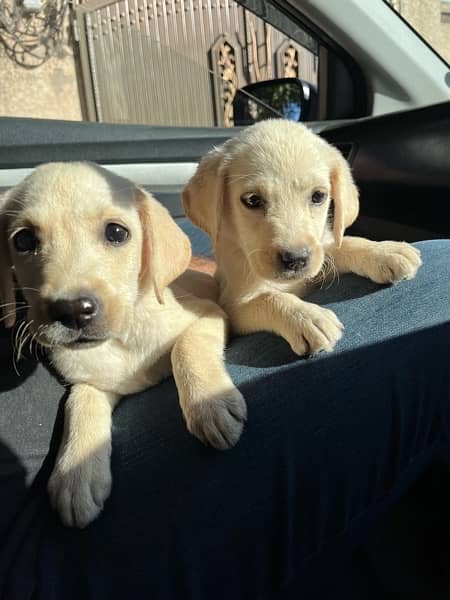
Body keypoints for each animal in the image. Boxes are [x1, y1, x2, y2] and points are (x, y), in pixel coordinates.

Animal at [0, 162, 246, 528]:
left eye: (117, 233)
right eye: (24, 240)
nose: (72, 311)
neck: (122, 340)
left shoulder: (208, 313)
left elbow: (185, 348)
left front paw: (210, 404)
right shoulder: (92, 380)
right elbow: (79, 401)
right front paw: (76, 472)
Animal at [183, 121, 422, 356]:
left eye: (318, 196)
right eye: (252, 200)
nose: (295, 260)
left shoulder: (318, 258)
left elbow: (341, 245)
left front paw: (383, 251)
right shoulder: (232, 306)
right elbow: (269, 297)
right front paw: (307, 318)